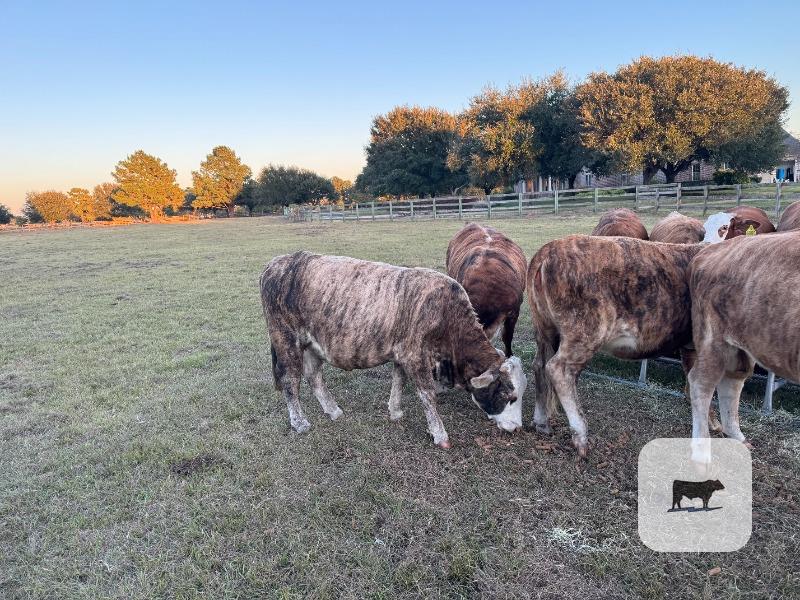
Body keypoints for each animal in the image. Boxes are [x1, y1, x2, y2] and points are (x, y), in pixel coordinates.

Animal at [260, 251, 527, 448]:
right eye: (510, 397)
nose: (516, 428)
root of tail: (276, 263)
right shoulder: (416, 356)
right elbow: (427, 394)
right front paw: (440, 435)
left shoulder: (402, 354)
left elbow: (398, 381)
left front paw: (395, 411)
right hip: (285, 339)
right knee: (291, 381)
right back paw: (299, 422)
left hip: (311, 345)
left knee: (314, 376)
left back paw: (333, 410)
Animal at [527, 235, 703, 456]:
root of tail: (548, 249)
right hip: (586, 332)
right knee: (558, 369)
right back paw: (581, 436)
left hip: (545, 329)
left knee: (540, 365)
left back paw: (542, 422)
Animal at [686, 232, 800, 463]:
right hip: (713, 339)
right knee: (701, 383)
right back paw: (702, 452)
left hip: (739, 346)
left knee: (731, 382)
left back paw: (736, 435)